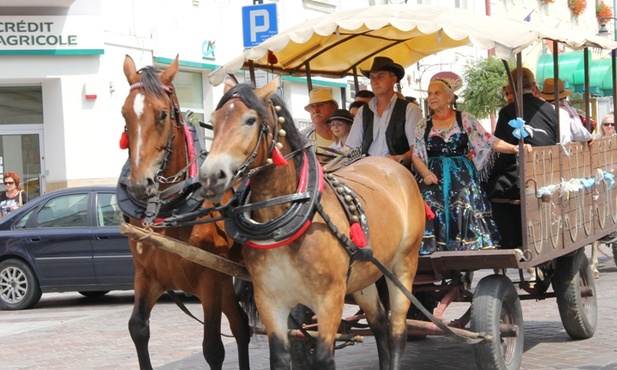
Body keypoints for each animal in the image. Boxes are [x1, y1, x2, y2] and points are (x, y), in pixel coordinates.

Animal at [116, 55, 249, 370]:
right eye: (125, 114)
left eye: (163, 115)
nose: (138, 185)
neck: (169, 208)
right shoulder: (147, 275)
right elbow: (138, 328)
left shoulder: (209, 280)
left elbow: (212, 348)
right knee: (241, 326)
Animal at [200, 76, 426, 368]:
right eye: (214, 121)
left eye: (250, 120)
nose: (210, 176)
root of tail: (393, 166)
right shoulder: (269, 300)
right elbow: (280, 356)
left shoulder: (330, 299)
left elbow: (323, 358)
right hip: (364, 274)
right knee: (378, 323)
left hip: (403, 265)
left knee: (397, 331)